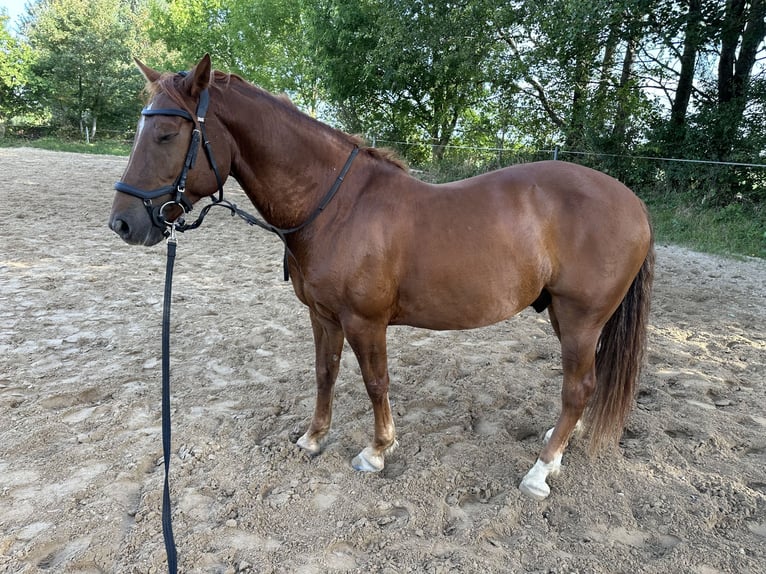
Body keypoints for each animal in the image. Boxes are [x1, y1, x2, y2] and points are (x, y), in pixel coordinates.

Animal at [111, 56, 656, 502]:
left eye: (167, 135)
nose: (123, 224)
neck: (335, 205)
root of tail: (632, 203)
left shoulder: (364, 322)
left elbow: (376, 383)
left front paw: (376, 451)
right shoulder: (323, 316)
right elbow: (325, 373)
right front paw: (313, 438)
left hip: (581, 318)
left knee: (578, 388)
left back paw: (540, 472)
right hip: (566, 317)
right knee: (581, 387)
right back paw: (558, 447)